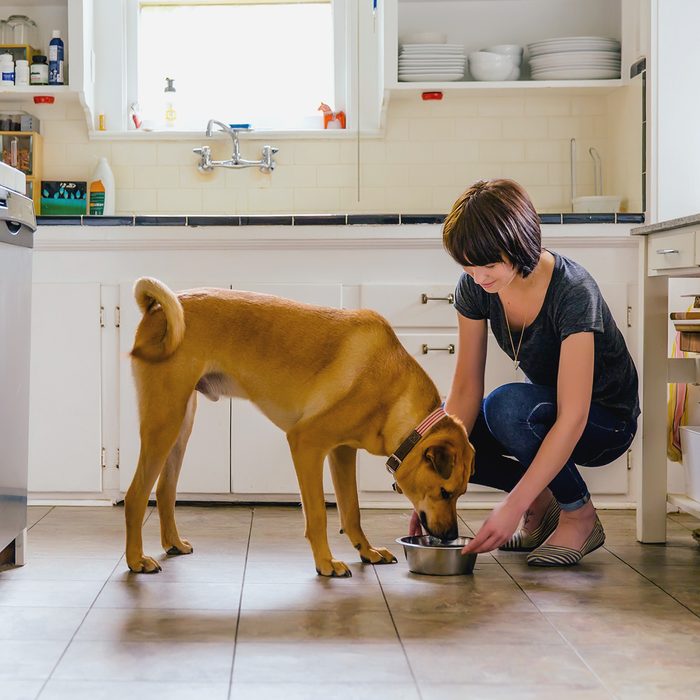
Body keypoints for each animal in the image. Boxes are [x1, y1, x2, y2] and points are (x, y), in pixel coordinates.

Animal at [126, 276, 476, 576]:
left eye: (461, 494)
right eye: (444, 492)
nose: (450, 537)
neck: (392, 392)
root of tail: (158, 308)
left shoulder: (342, 453)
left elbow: (351, 510)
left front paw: (367, 551)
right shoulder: (306, 444)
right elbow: (319, 513)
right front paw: (326, 563)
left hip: (181, 425)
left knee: (165, 490)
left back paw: (173, 543)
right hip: (163, 422)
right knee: (136, 495)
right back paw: (136, 560)